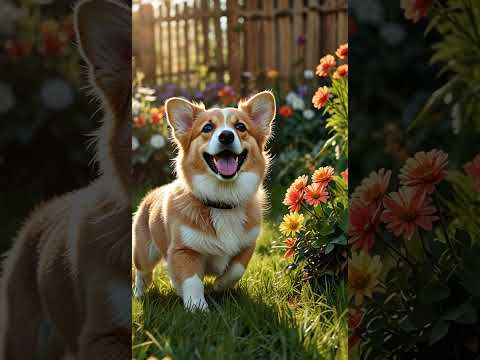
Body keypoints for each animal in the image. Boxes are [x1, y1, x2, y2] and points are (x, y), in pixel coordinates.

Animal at [133, 90, 276, 310]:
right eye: (207, 128)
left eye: (240, 127)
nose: (226, 135)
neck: (222, 200)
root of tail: (151, 194)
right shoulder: (183, 250)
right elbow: (192, 281)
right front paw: (197, 308)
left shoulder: (247, 245)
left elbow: (236, 270)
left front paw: (219, 286)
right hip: (143, 252)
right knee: (143, 272)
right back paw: (140, 293)